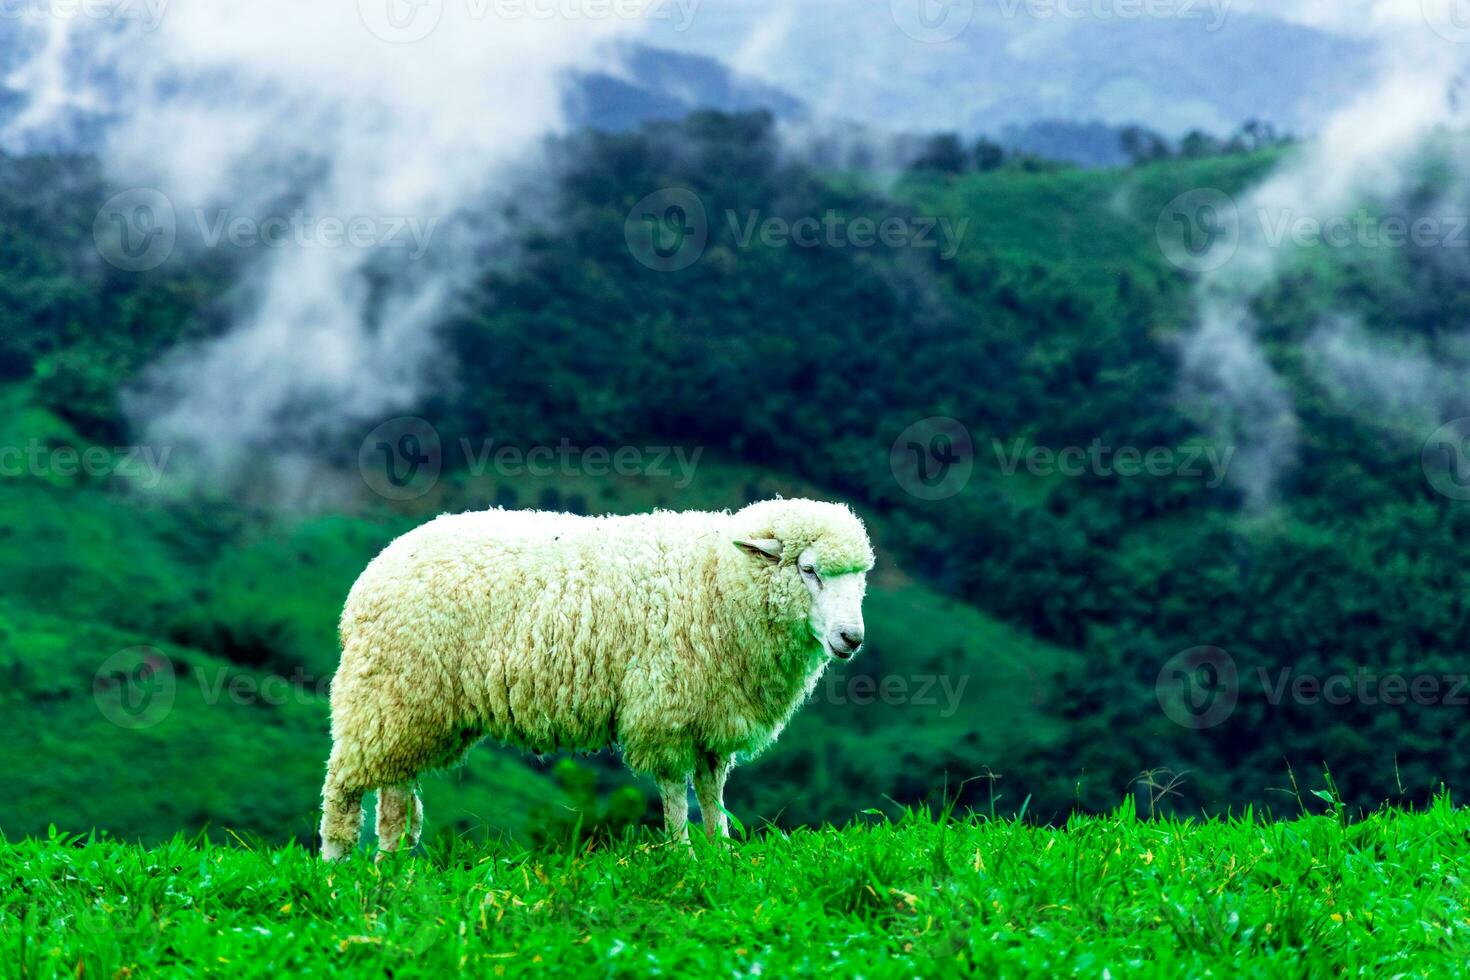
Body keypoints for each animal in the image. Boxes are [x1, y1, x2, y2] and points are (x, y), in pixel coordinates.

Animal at [318, 499, 870, 858]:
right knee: (344, 785)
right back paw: (338, 867)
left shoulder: (712, 714)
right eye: (809, 570)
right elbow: (675, 789)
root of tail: (378, 565)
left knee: (394, 793)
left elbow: (712, 790)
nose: (852, 638)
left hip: (411, 708)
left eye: (859, 578)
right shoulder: (665, 707)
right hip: (381, 689)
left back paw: (393, 869)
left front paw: (722, 855)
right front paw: (682, 856)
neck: (717, 578)